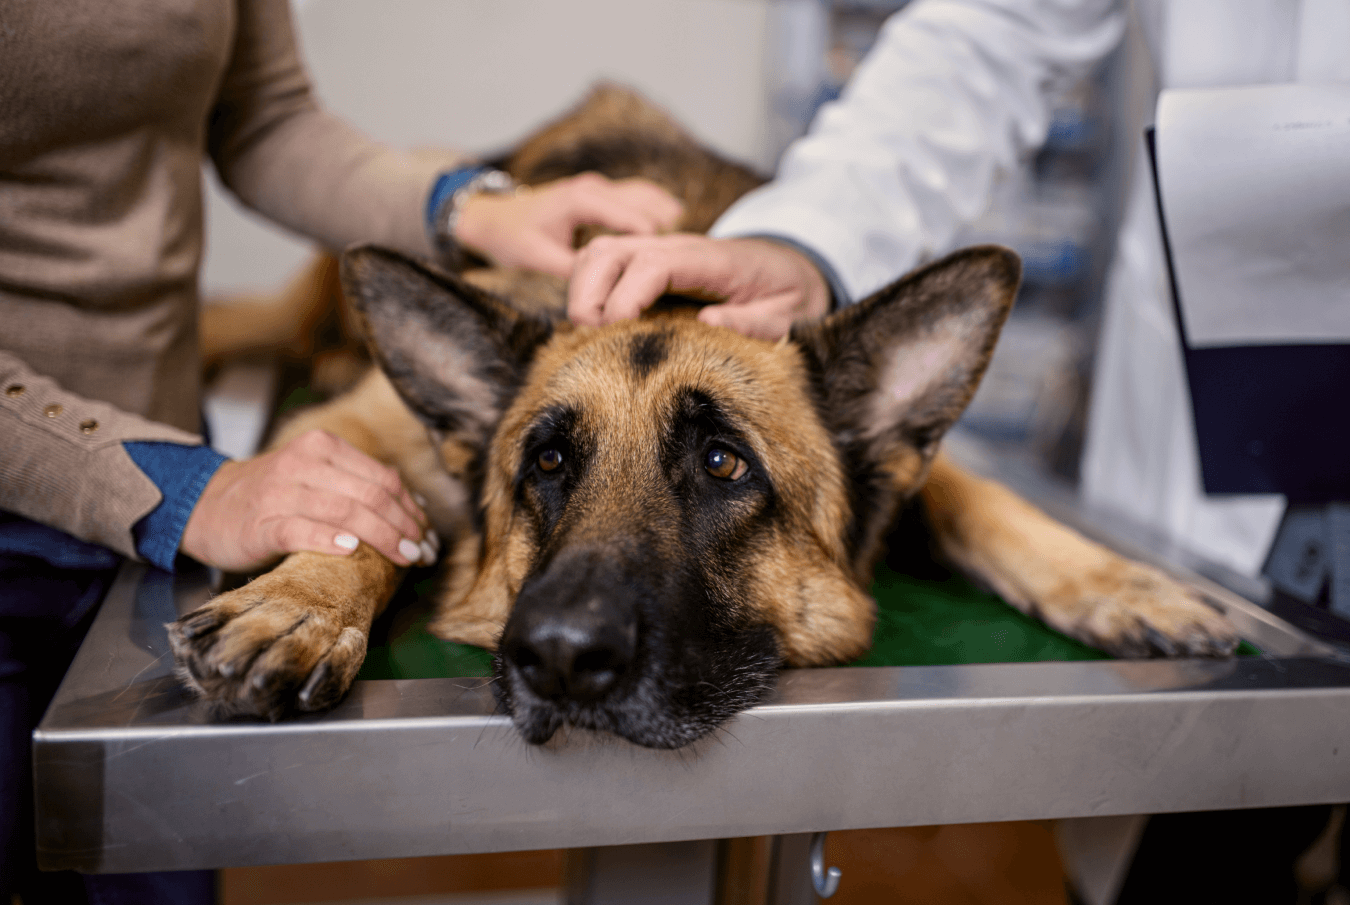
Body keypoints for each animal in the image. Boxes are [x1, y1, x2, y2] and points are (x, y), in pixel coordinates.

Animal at [171, 87, 1242, 751]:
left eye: (726, 464)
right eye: (547, 463)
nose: (560, 657)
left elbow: (982, 496)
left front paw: (1120, 582)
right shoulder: (357, 430)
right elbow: (348, 510)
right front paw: (300, 602)